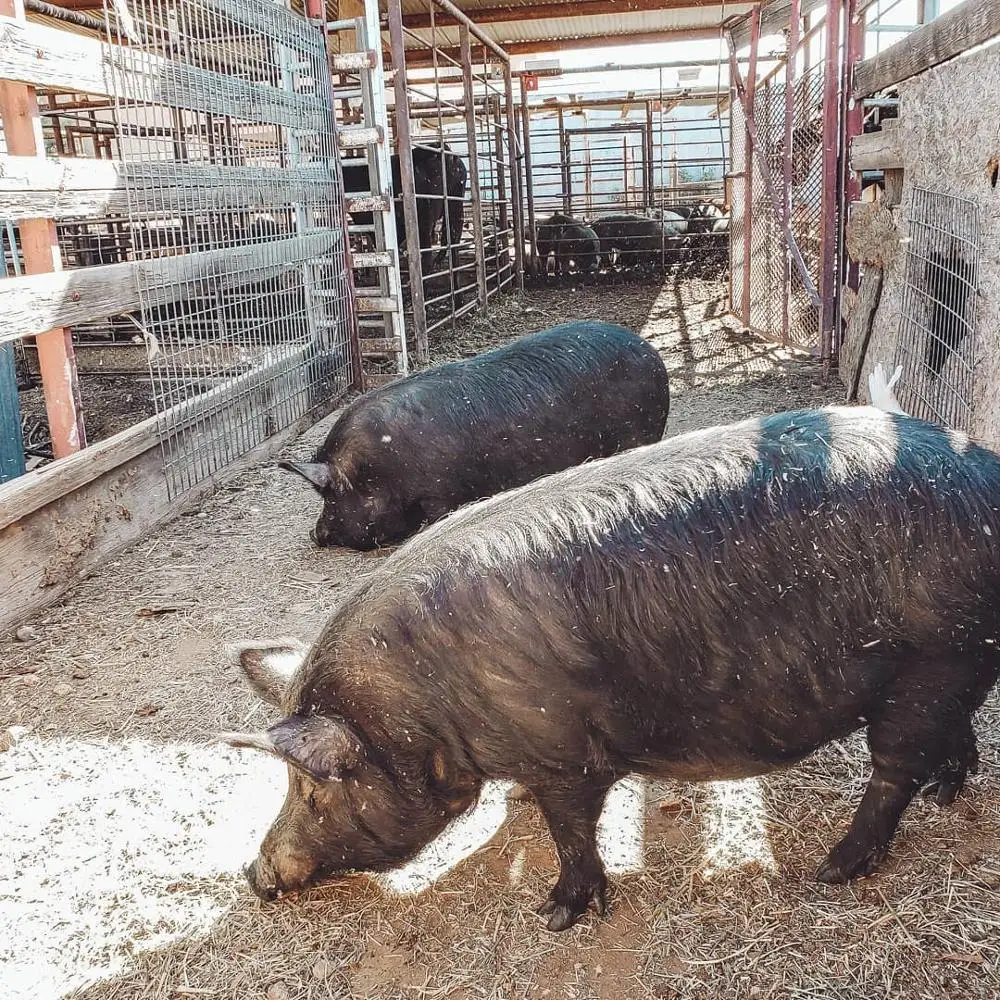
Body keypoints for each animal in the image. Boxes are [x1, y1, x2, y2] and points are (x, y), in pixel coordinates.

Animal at [223, 405, 1000, 932]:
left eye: (314, 791)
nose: (254, 873)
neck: (428, 704)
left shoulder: (564, 752)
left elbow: (570, 830)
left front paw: (557, 915)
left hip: (929, 663)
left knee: (893, 769)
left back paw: (834, 869)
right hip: (953, 663)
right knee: (951, 733)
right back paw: (946, 794)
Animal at [279, 321, 670, 550]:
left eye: (329, 498)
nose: (314, 534)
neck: (376, 469)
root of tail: (652, 352)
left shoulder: (440, 494)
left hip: (640, 432)